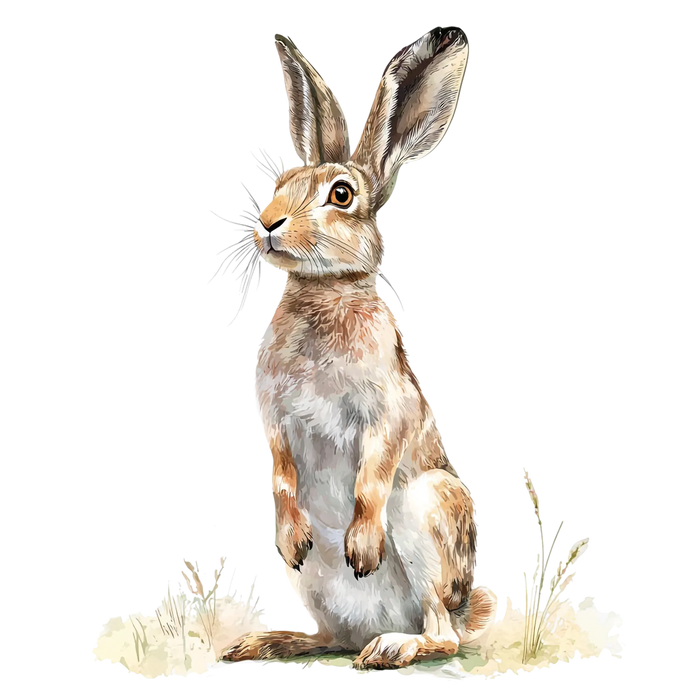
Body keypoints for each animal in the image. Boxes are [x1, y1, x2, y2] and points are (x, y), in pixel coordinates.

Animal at [222, 24, 500, 670]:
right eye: (278, 186)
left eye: (342, 194)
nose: (267, 222)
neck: (323, 296)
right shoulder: (272, 415)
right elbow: (280, 469)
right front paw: (291, 533)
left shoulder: (387, 410)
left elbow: (373, 473)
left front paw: (364, 548)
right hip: (309, 583)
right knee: (334, 635)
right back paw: (269, 640)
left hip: (429, 516)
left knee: (442, 633)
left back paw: (393, 647)